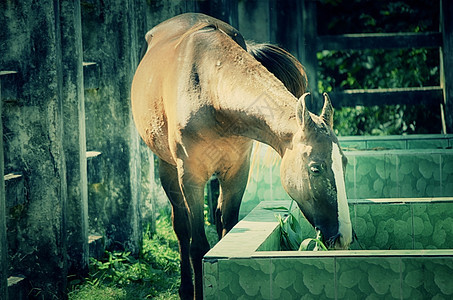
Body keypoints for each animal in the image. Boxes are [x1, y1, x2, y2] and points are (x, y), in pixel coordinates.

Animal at [131, 12, 354, 298]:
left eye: (344, 164)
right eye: (315, 168)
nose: (343, 237)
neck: (209, 90)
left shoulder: (237, 172)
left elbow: (227, 228)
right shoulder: (190, 178)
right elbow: (197, 246)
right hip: (167, 168)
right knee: (181, 228)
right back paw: (185, 289)